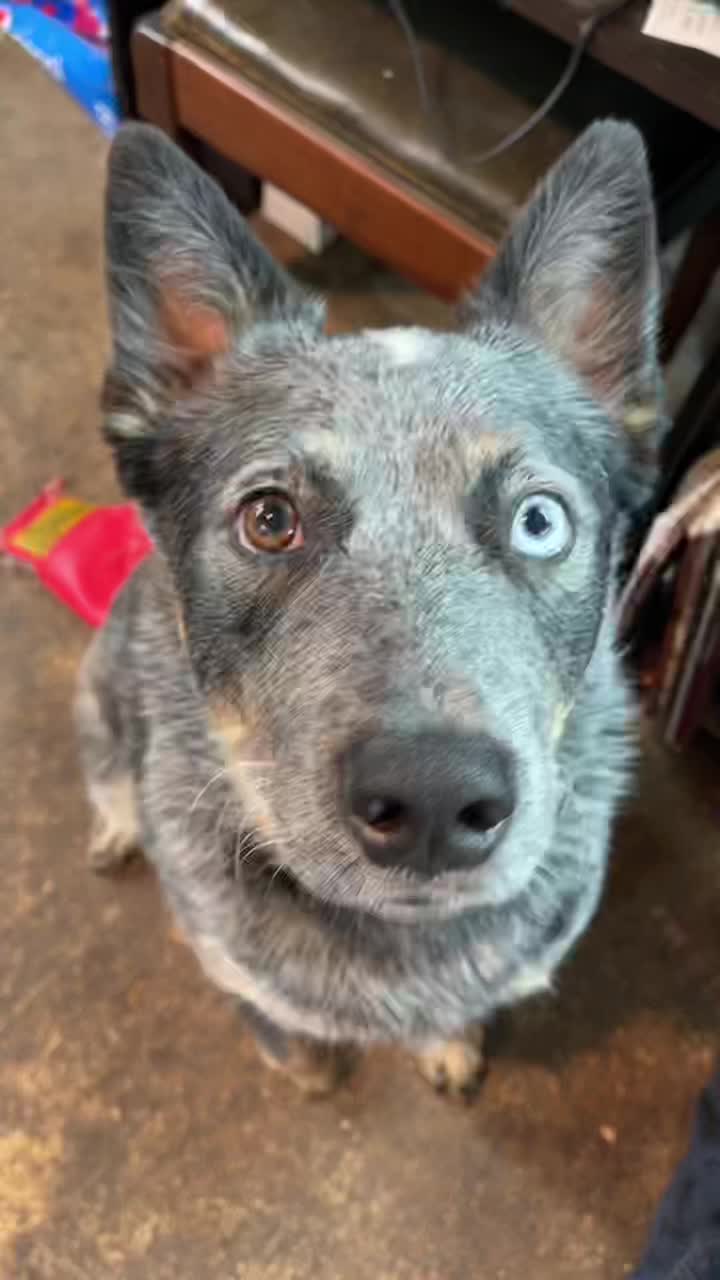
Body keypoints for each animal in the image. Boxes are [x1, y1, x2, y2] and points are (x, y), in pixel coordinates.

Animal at [75, 119, 663, 1099]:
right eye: (270, 519)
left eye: (539, 521)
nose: (434, 795)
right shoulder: (229, 964)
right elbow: (276, 1023)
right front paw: (309, 1067)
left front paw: (451, 1044)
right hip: (97, 692)